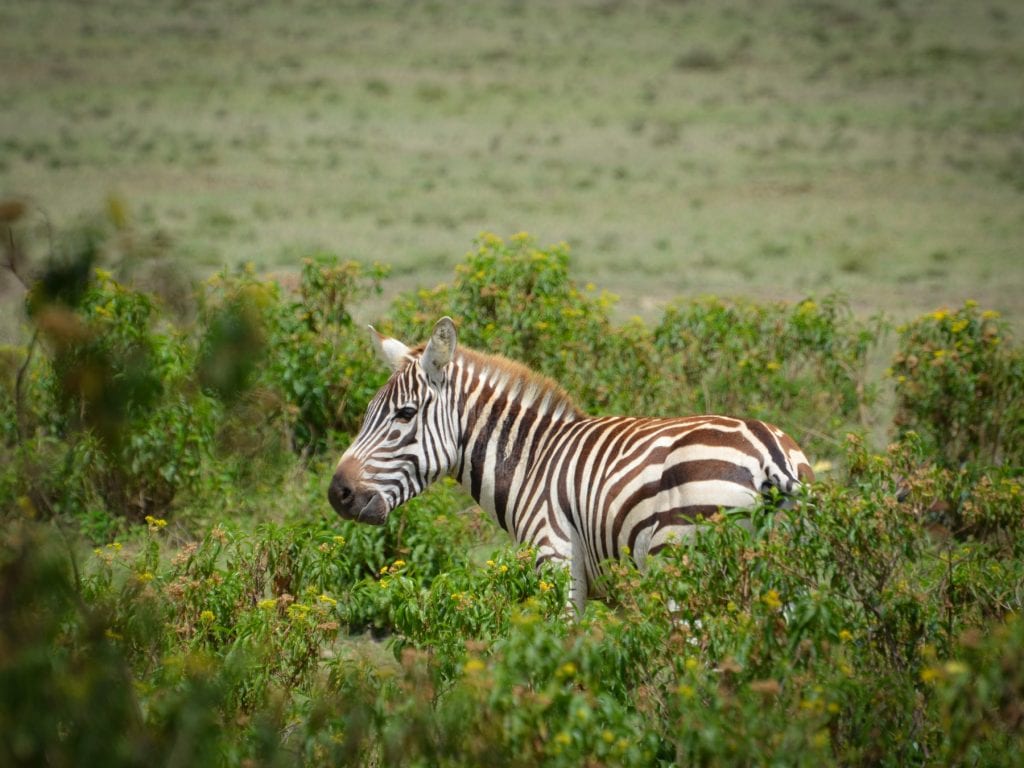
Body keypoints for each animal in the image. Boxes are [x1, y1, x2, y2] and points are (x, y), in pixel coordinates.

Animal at [328, 316, 814, 613]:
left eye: (404, 414)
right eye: (366, 412)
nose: (338, 494)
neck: (530, 459)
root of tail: (769, 453)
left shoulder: (557, 561)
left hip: (685, 572)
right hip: (792, 582)